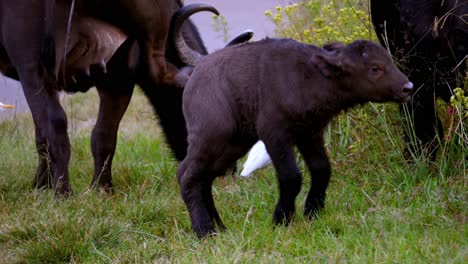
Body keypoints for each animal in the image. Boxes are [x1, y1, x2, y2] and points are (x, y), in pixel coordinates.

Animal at [0, 2, 221, 194]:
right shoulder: (30, 67)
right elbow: (48, 131)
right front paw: (47, 186)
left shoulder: (118, 76)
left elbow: (103, 135)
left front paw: (101, 189)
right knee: (56, 123)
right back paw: (63, 193)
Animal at [177, 37, 412, 237]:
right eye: (375, 68)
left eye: (389, 60)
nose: (407, 87)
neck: (308, 77)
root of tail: (195, 73)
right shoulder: (274, 134)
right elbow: (291, 176)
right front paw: (281, 219)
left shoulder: (310, 133)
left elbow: (322, 169)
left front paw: (313, 211)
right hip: (210, 138)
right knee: (188, 176)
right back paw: (204, 230)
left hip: (233, 144)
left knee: (200, 177)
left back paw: (220, 227)